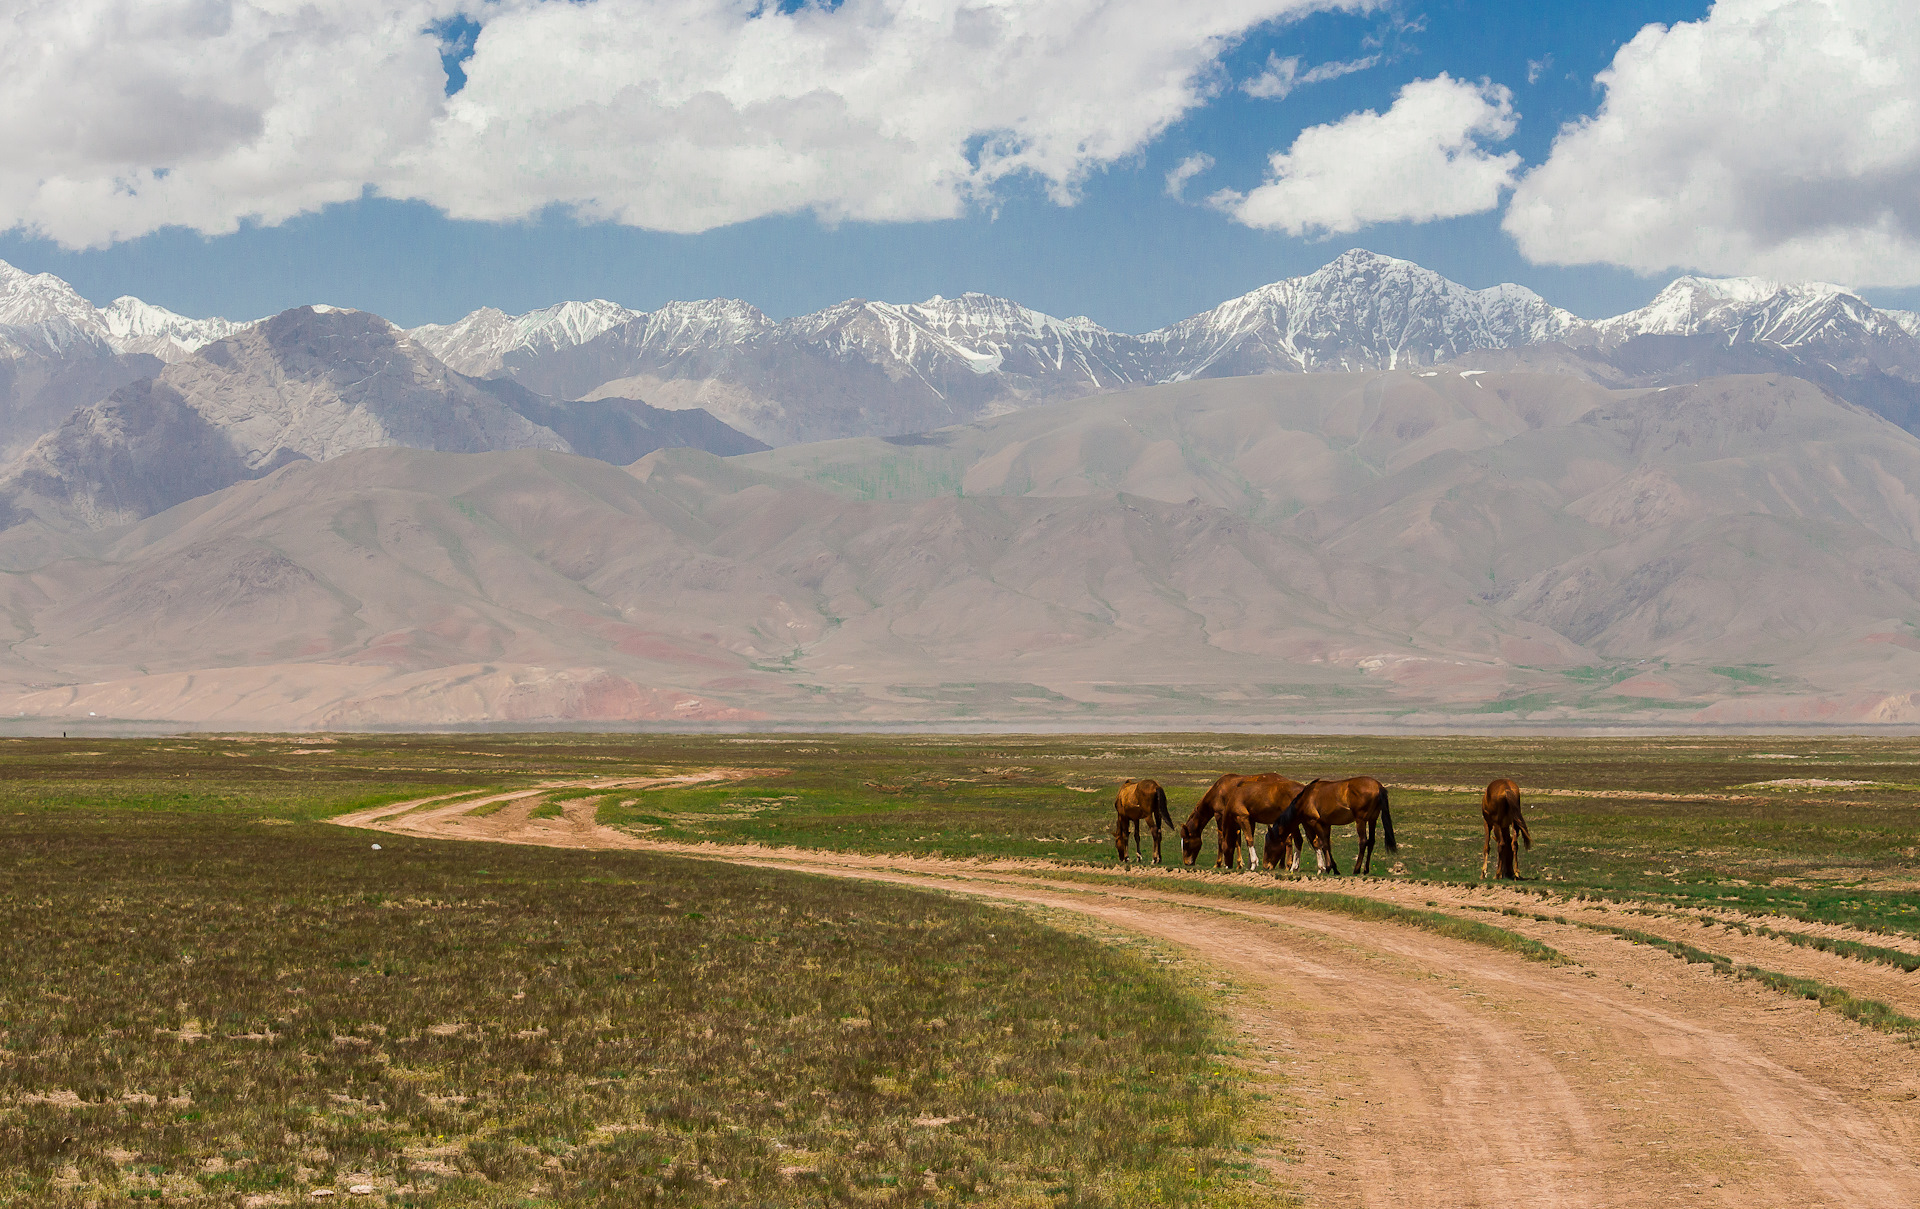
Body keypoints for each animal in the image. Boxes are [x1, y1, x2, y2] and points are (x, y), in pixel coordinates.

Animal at [1167, 775, 1305, 871]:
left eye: (1186, 842)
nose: (1187, 862)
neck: (1218, 790)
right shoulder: (1245, 820)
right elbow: (1240, 839)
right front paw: (1242, 864)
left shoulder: (1220, 815)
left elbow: (1222, 839)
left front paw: (1219, 863)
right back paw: (1284, 865)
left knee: (1289, 840)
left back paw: (1288, 865)